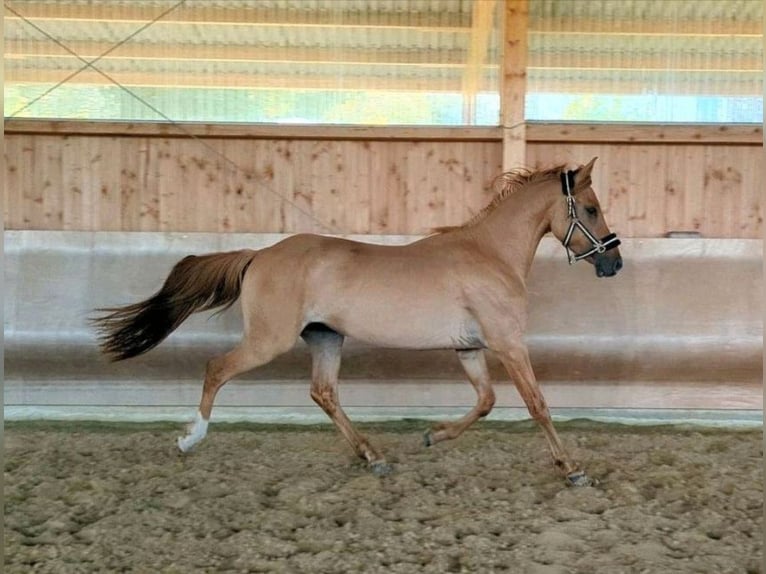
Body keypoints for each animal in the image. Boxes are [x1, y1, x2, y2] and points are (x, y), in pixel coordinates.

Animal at [94, 156, 624, 486]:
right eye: (591, 208)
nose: (614, 263)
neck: (489, 254)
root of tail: (259, 255)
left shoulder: (470, 348)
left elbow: (486, 402)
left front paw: (433, 435)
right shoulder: (509, 343)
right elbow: (537, 405)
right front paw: (571, 469)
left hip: (326, 338)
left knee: (323, 393)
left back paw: (373, 456)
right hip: (269, 340)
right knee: (216, 369)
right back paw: (190, 439)